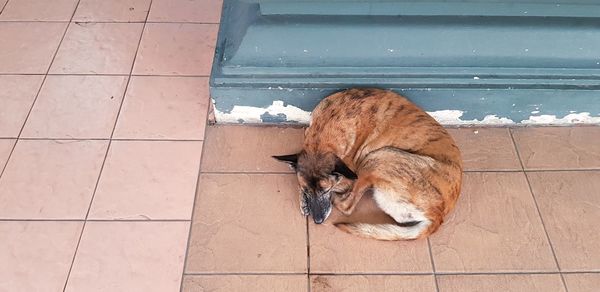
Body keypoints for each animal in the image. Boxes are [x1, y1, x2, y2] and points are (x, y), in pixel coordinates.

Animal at [274, 88, 462, 241]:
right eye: (307, 190)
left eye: (325, 190)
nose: (318, 221)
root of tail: (438, 215)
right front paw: (304, 200)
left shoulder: (349, 175)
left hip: (377, 157)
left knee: (347, 206)